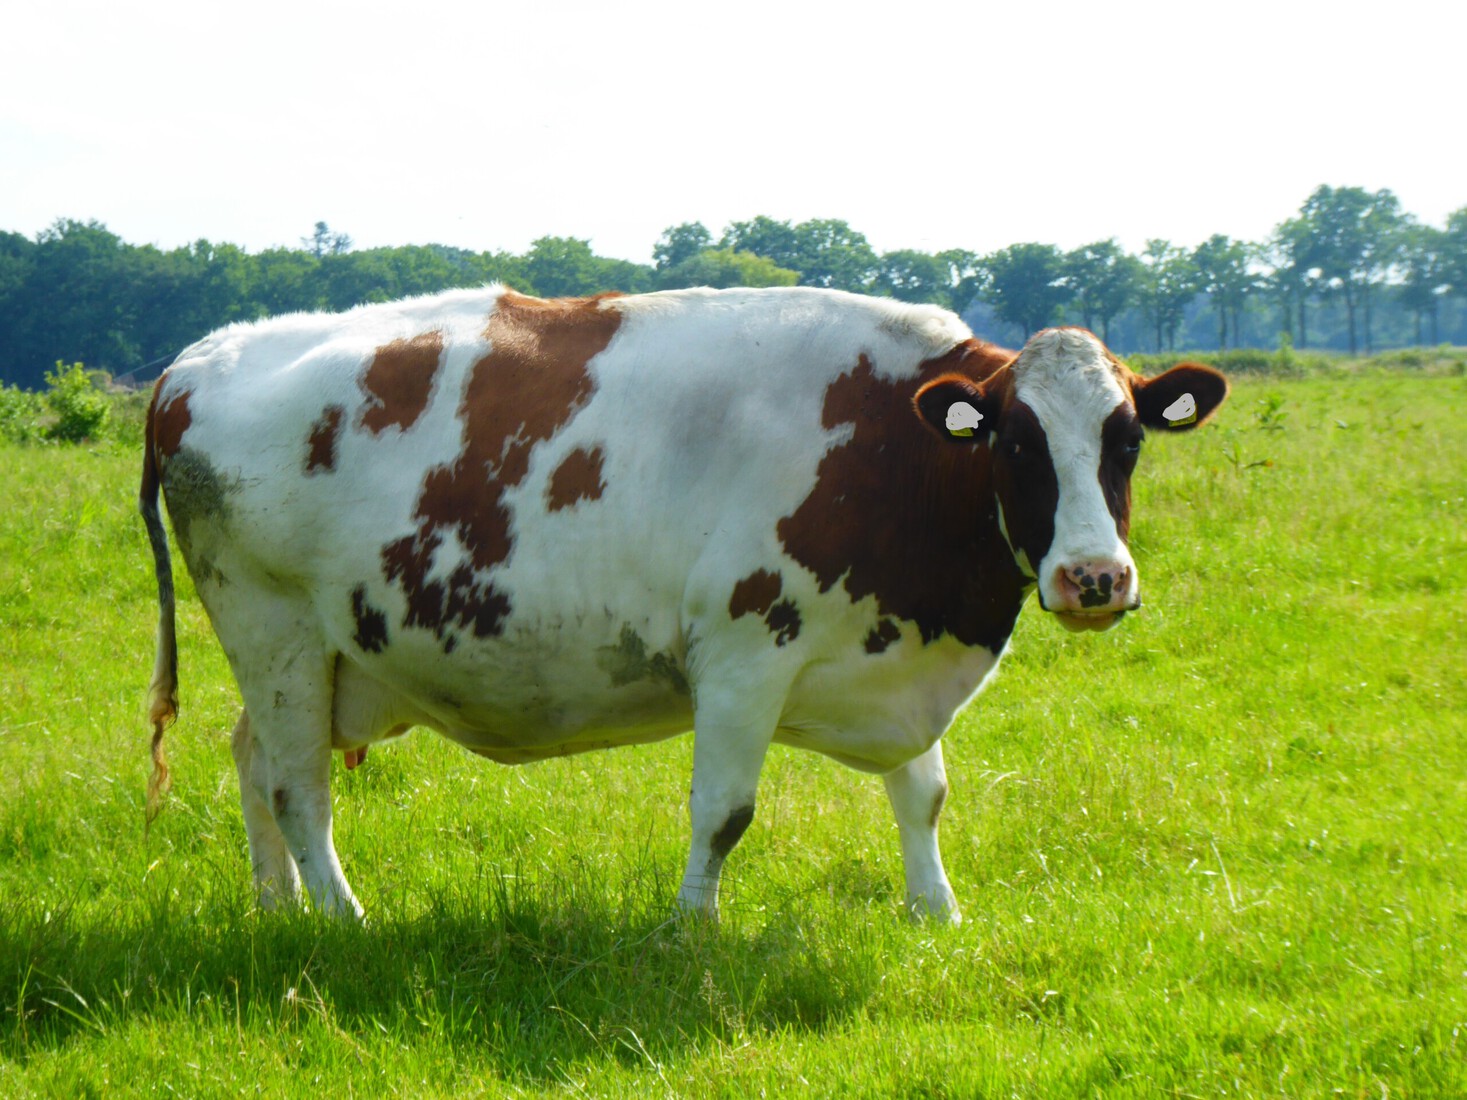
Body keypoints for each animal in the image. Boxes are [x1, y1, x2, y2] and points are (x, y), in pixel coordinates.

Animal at [140, 286, 1227, 924]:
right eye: (1014, 442)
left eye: (1127, 438)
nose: (1095, 577)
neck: (891, 451)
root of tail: (194, 360)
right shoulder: (745, 655)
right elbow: (724, 810)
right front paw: (689, 928)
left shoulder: (893, 661)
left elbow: (922, 793)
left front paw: (936, 913)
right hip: (272, 626)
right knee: (297, 784)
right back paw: (342, 918)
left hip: (318, 663)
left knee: (253, 760)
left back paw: (277, 910)